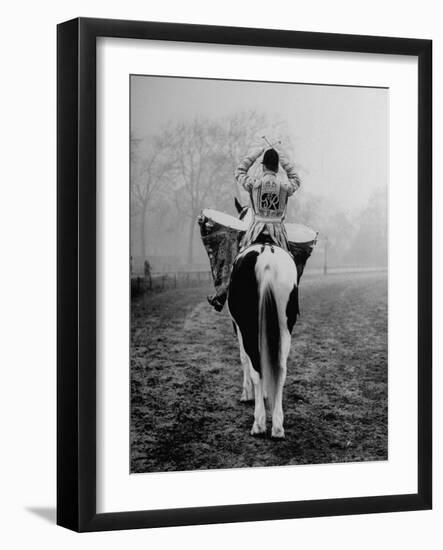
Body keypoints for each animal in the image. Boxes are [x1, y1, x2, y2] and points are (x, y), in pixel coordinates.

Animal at [229, 201, 298, 442]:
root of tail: (266, 260)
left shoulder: (238, 327)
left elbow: (244, 359)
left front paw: (247, 394)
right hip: (285, 326)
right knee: (281, 368)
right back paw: (277, 425)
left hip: (249, 326)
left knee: (257, 367)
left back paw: (259, 423)